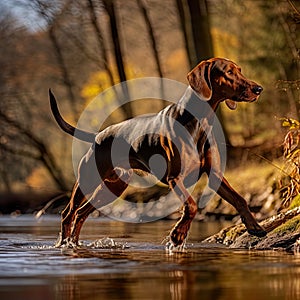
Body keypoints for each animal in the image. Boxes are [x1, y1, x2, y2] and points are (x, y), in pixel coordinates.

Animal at [50, 56, 266, 248]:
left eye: (239, 70)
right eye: (228, 72)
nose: (259, 89)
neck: (199, 122)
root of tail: (98, 136)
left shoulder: (215, 175)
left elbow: (240, 199)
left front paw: (254, 226)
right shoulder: (174, 177)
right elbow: (191, 205)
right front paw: (178, 234)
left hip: (114, 186)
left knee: (81, 214)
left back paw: (74, 243)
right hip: (88, 179)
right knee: (68, 213)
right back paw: (64, 244)